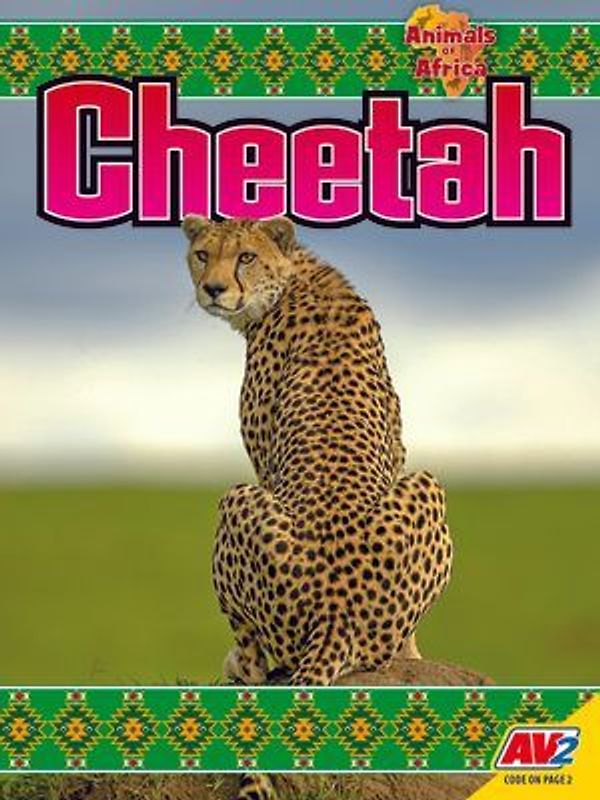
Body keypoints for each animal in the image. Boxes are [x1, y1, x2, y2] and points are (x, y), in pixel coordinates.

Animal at [182, 215, 453, 800]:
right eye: (201, 254)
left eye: (244, 257)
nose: (213, 289)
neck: (292, 277)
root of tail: (335, 612)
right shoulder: (398, 448)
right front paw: (416, 657)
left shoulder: (265, 461)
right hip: (424, 482)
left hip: (237, 498)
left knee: (257, 656)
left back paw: (238, 666)